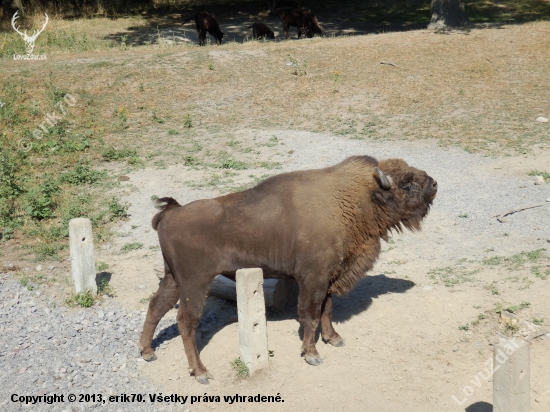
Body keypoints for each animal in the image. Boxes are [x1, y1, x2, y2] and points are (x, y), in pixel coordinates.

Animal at [139, 154, 440, 384]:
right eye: (407, 184)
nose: (435, 183)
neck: (357, 200)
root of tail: (171, 213)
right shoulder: (312, 279)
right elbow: (310, 315)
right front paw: (312, 354)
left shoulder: (329, 278)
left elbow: (327, 310)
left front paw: (334, 339)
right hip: (195, 283)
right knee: (185, 322)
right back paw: (201, 372)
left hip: (172, 278)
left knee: (156, 307)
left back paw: (147, 352)